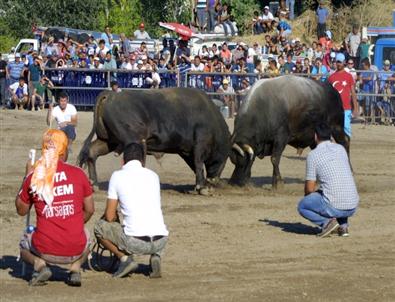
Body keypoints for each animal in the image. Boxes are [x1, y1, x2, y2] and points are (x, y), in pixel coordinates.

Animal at [77, 87, 230, 192]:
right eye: (225, 159)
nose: (215, 182)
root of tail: (111, 95)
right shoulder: (200, 144)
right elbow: (198, 163)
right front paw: (201, 187)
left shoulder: (186, 150)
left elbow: (194, 165)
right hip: (135, 141)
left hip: (109, 141)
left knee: (92, 152)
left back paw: (94, 184)